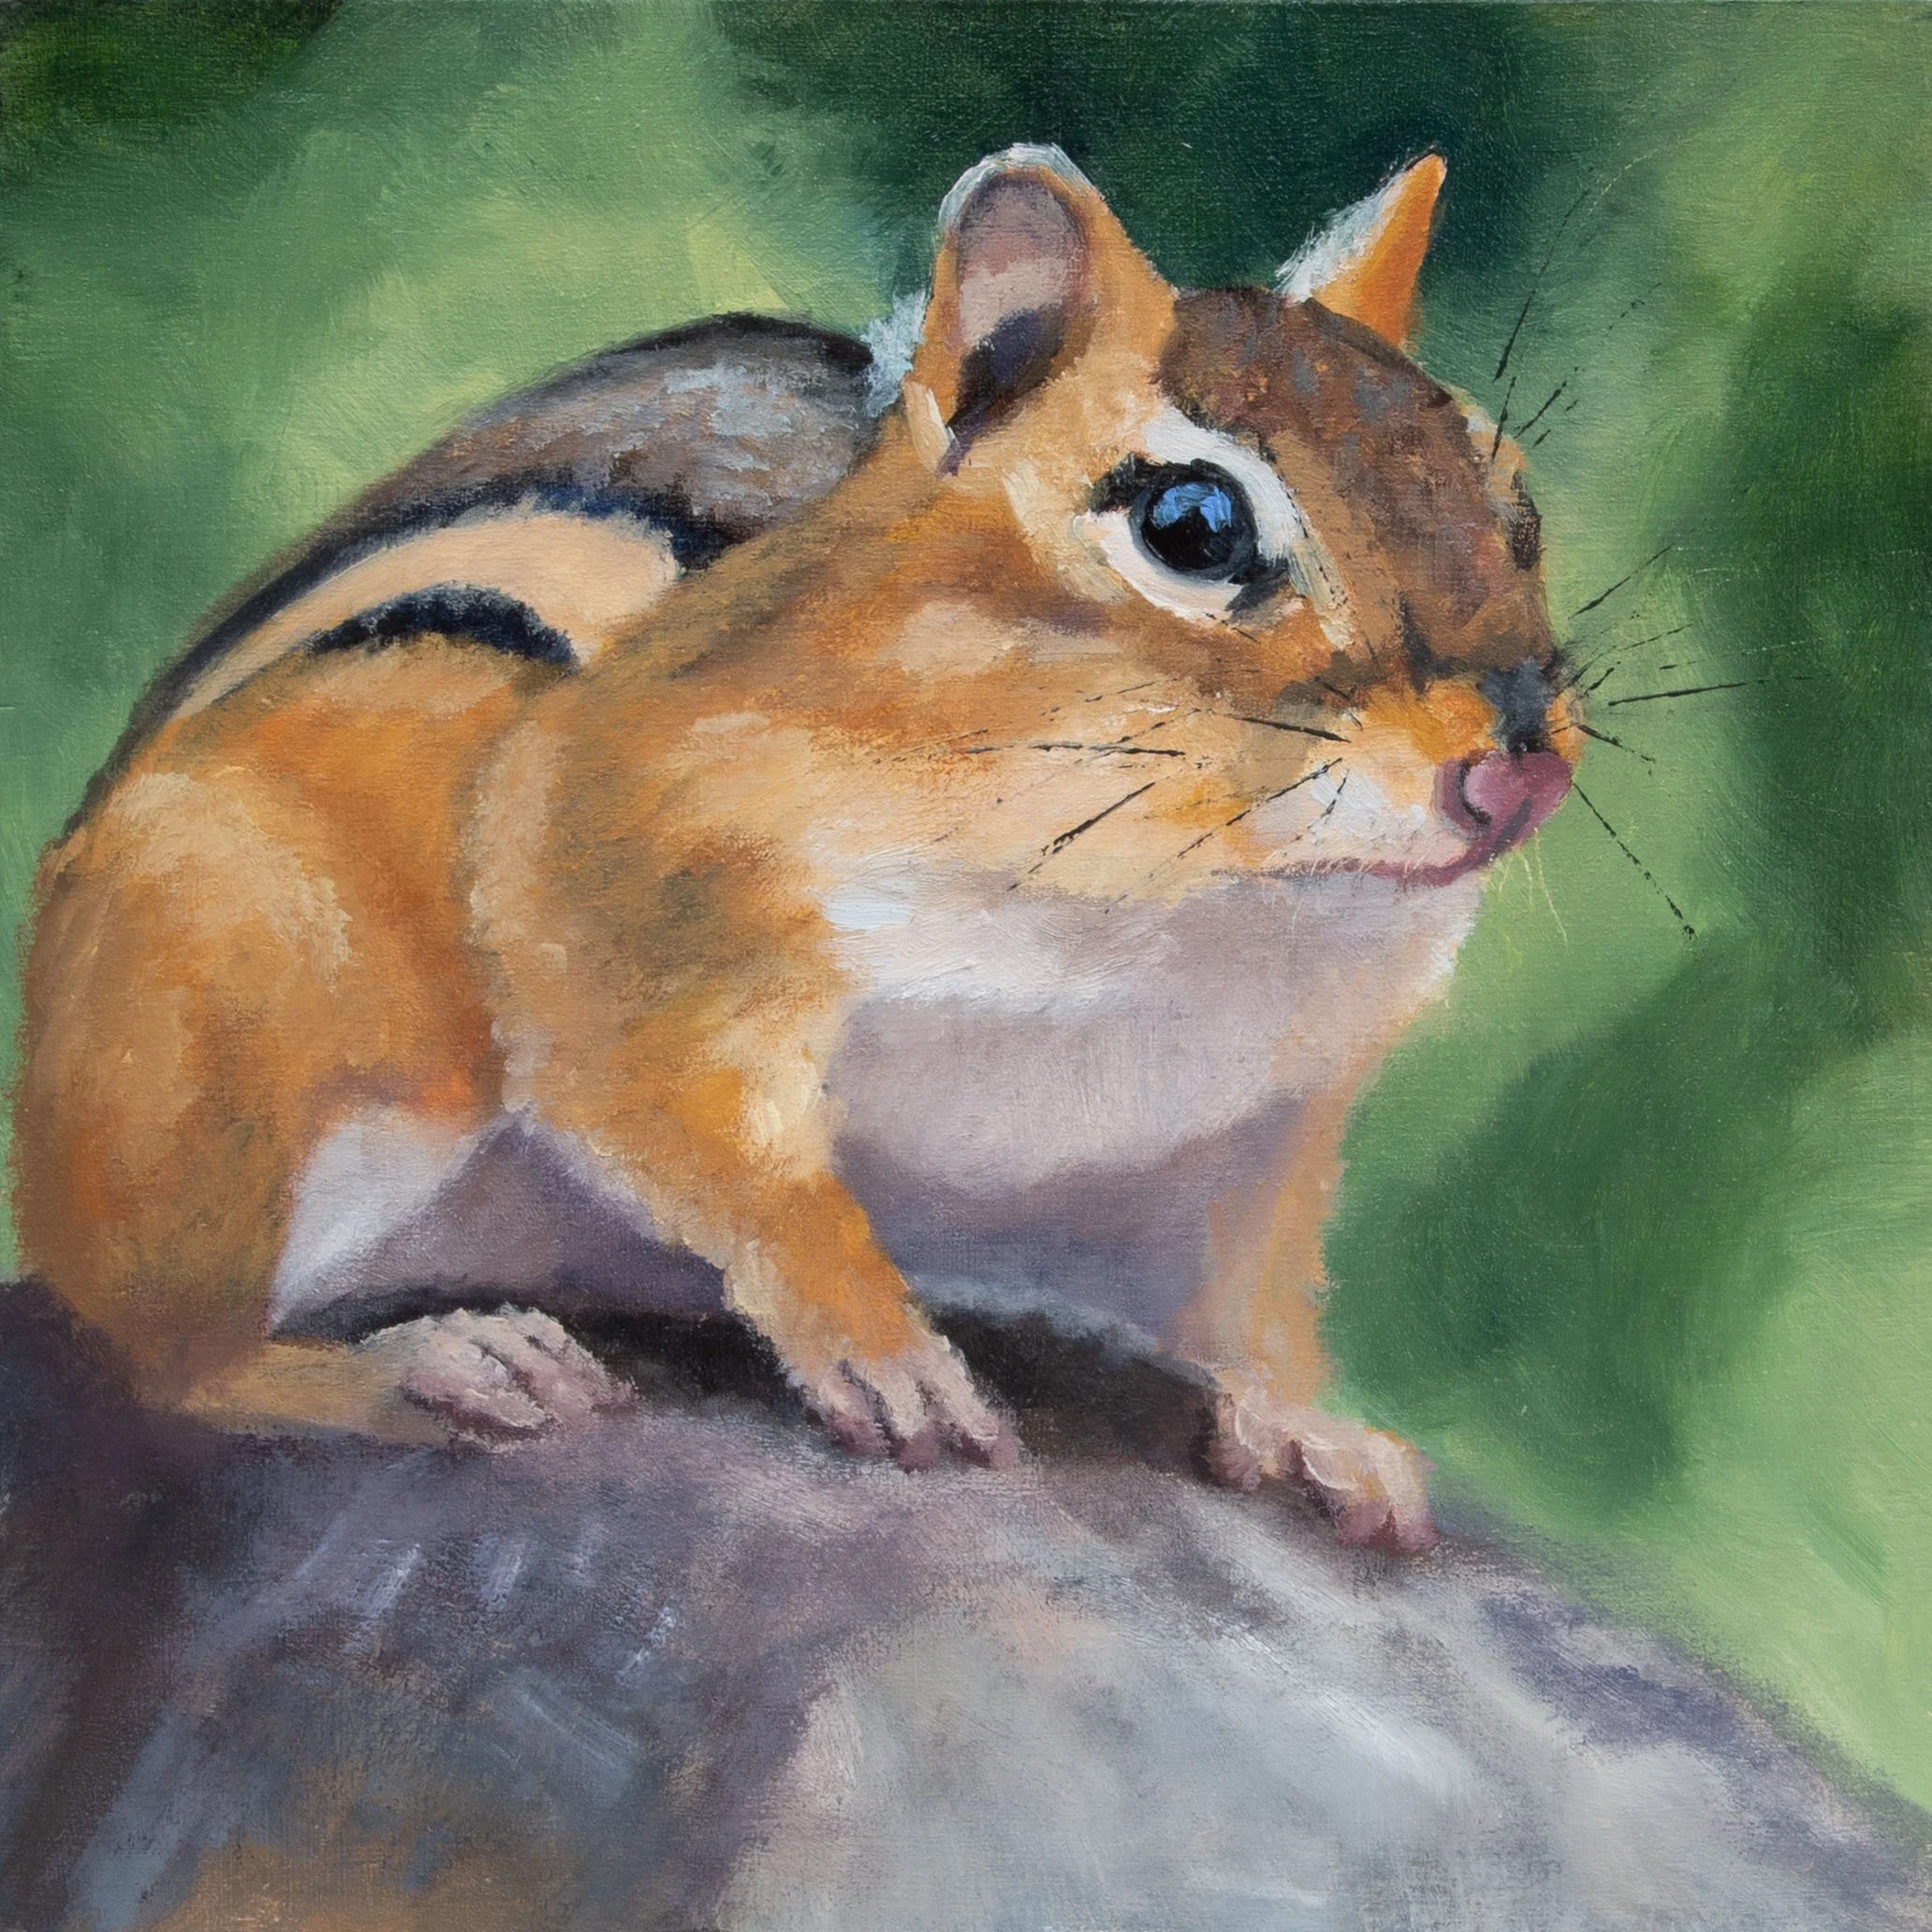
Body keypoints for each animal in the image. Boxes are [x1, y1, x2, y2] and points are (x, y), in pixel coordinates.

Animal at [13, 147, 1576, 1553]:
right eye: (1191, 524)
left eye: (1516, 504)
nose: (1518, 769)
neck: (1182, 905)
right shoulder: (610, 908)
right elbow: (725, 1157)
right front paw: (885, 1351)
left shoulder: (1258, 1129)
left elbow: (1253, 1302)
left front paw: (1317, 1432)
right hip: (225, 1031)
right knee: (172, 1354)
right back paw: (426, 1362)